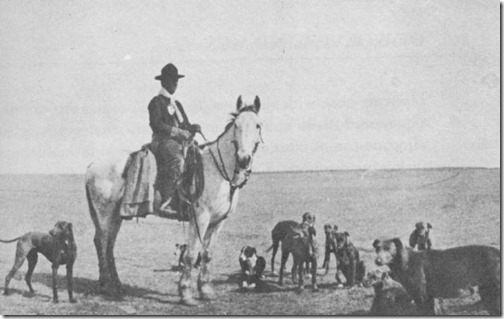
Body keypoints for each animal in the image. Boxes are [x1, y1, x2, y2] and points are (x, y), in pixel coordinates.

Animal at [84, 96, 262, 306]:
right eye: (236, 125)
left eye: (258, 125)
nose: (243, 158)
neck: (217, 172)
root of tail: (92, 165)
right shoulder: (199, 218)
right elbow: (192, 255)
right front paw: (186, 293)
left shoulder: (218, 222)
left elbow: (207, 254)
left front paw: (206, 290)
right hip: (104, 213)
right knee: (102, 242)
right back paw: (106, 287)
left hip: (116, 215)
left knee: (109, 245)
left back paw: (117, 285)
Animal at [372, 238, 502, 316]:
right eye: (377, 248)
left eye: (388, 248)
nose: (377, 261)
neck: (407, 261)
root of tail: (497, 252)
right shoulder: (429, 298)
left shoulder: (421, 298)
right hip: (487, 293)